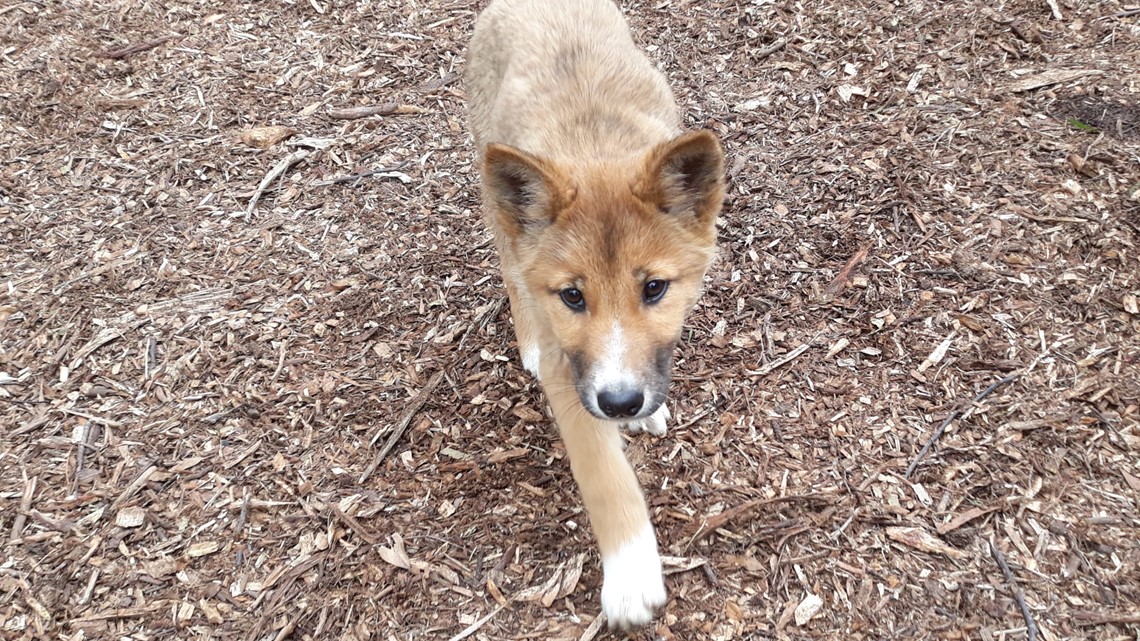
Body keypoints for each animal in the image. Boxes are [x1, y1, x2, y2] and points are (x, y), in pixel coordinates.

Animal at [462, 0, 720, 629]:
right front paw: (629, 574)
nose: (620, 402)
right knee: (509, 267)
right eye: (573, 298)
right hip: (498, 200)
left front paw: (646, 411)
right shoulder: (569, 368)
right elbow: (602, 474)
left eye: (654, 288)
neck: (594, 148)